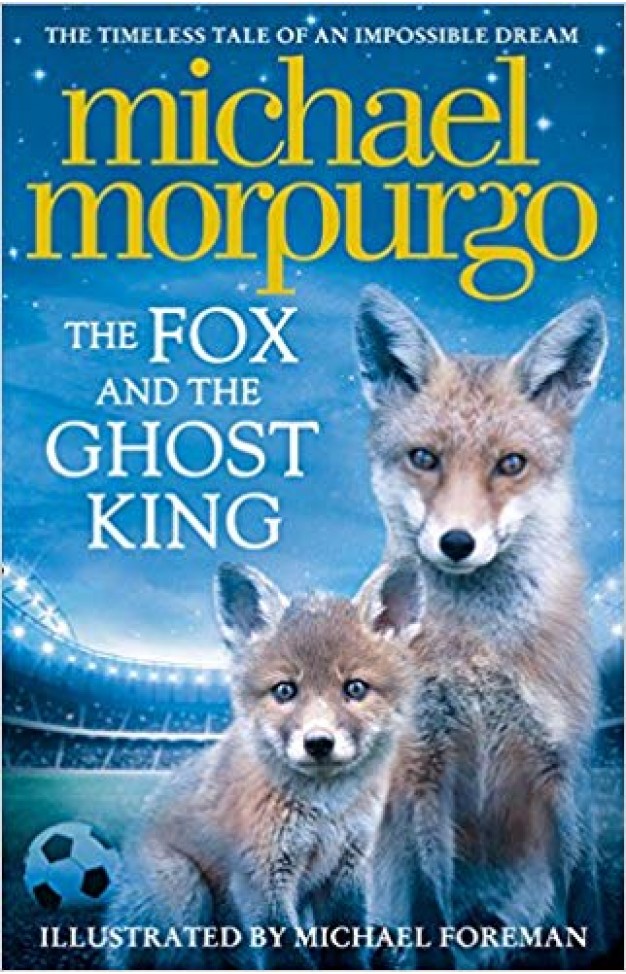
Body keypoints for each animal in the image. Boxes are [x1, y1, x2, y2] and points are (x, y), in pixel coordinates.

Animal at [106, 558, 423, 971]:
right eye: (284, 690)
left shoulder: (347, 872)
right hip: (183, 889)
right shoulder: (260, 878)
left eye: (355, 688)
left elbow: (346, 947)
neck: (326, 810)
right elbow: (287, 956)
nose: (318, 743)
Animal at [355, 285, 608, 967]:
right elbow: (428, 917)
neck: (480, 651)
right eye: (424, 458)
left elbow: (578, 905)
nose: (457, 542)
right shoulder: (421, 768)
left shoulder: (562, 771)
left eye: (510, 464)